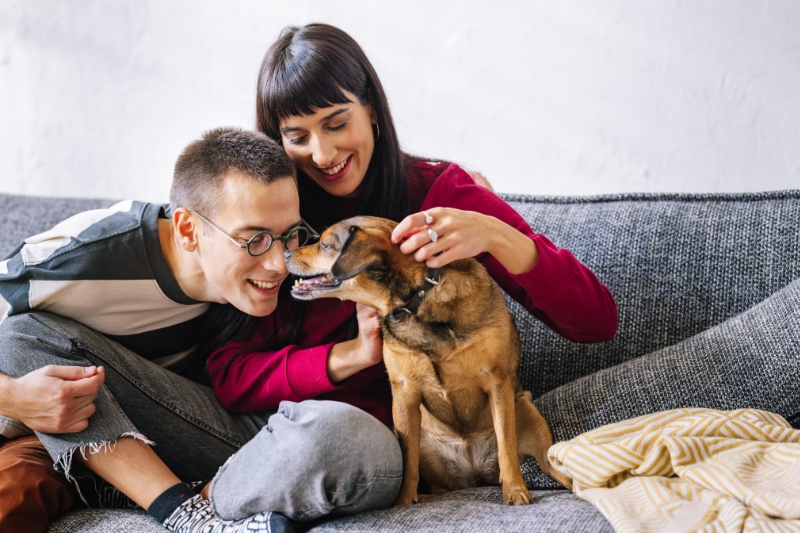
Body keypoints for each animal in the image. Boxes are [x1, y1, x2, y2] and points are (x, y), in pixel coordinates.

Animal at [284, 215, 572, 502]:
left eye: (325, 245)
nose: (286, 252)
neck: (415, 303)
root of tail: (475, 473)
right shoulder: (404, 393)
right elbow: (407, 461)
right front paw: (403, 503)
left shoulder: (497, 381)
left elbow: (506, 446)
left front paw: (514, 490)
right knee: (434, 482)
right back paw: (423, 498)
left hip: (529, 415)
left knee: (551, 466)